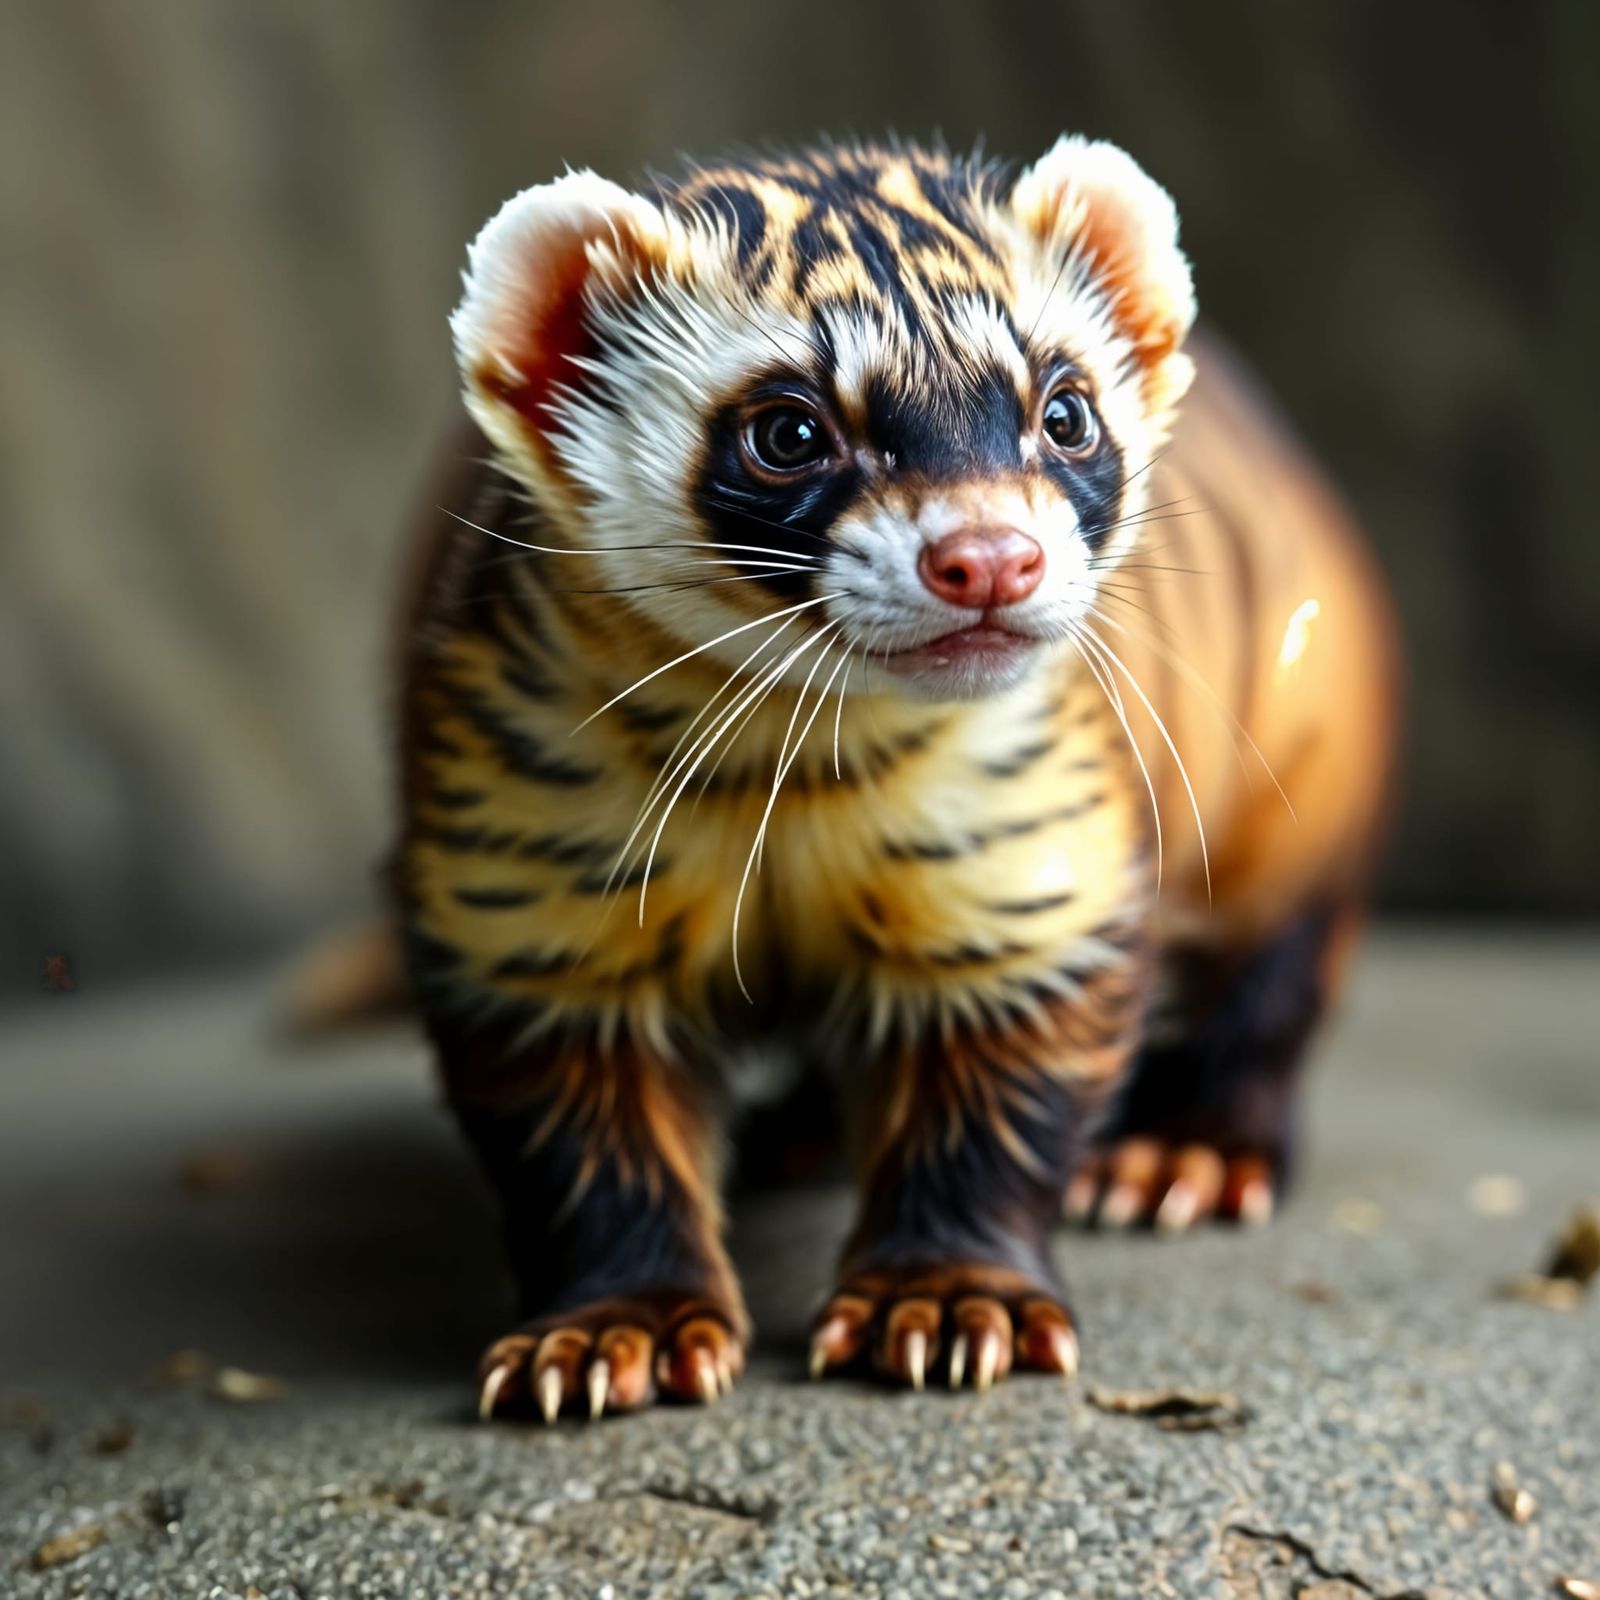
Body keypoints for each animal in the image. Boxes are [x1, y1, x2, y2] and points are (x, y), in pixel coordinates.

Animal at [391, 136, 1400, 1421]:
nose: (989, 555)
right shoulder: (528, 918)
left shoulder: (1029, 891)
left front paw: (946, 1303)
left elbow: (991, 1126)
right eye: (787, 431)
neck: (781, 814)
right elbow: (583, 1159)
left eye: (1064, 410)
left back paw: (1182, 1154)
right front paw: (615, 1331)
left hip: (1298, 818)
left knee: (1271, 999)